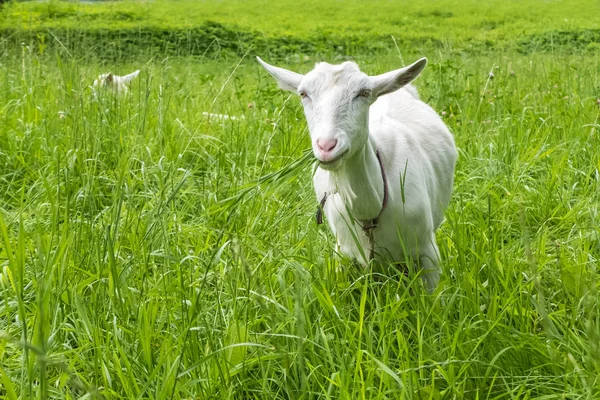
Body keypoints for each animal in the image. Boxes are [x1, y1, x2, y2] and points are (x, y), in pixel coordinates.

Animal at [255, 56, 458, 290]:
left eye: (364, 93)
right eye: (303, 94)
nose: (327, 146)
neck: (370, 211)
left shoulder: (427, 252)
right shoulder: (344, 253)